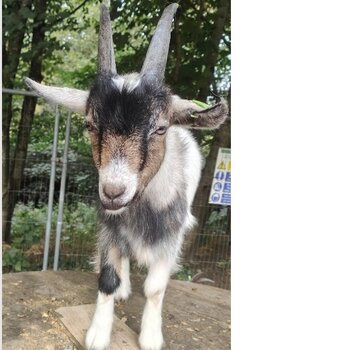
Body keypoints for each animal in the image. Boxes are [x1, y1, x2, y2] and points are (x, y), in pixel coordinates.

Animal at [24, 3, 227, 350]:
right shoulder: (109, 225)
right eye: (90, 124)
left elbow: (155, 289)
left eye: (161, 128)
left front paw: (150, 337)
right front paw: (98, 333)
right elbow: (107, 278)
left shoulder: (171, 236)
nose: (113, 191)